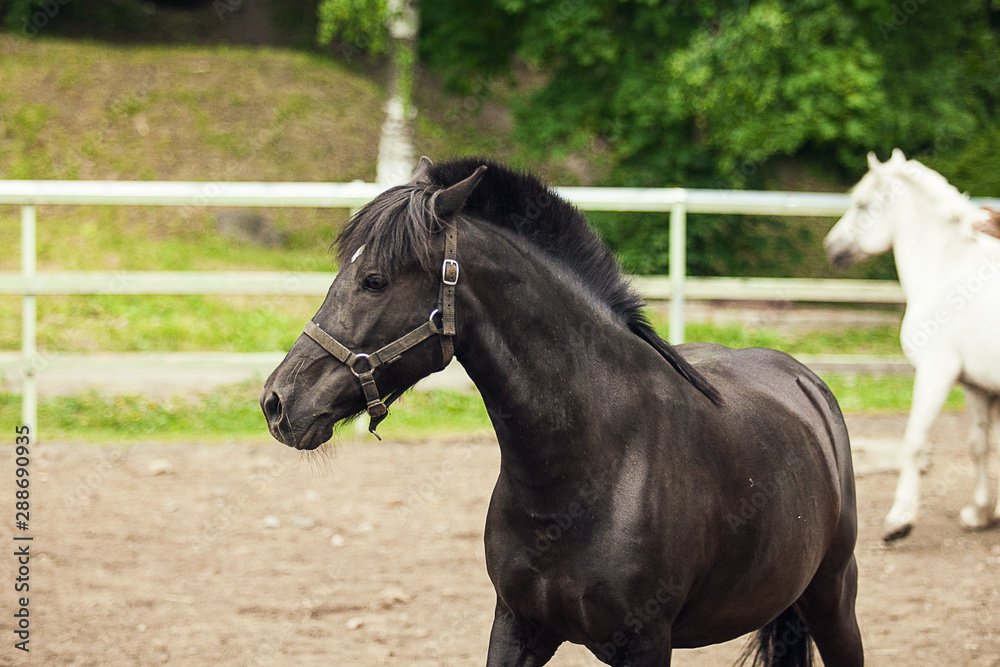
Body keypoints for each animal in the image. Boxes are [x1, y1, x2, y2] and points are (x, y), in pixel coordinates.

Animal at [261, 157, 863, 666]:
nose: (277, 401)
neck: (591, 468)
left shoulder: (646, 645)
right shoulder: (517, 626)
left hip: (833, 600)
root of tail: (805, 383)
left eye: (375, 280)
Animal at [824, 148, 1000, 542]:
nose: (831, 247)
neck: (947, 272)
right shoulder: (977, 387)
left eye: (861, 204)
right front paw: (980, 512)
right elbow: (980, 446)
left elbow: (913, 441)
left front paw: (899, 519)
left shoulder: (936, 373)